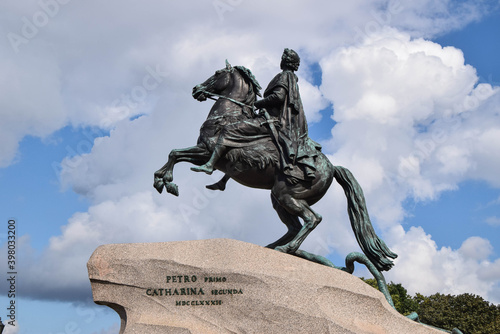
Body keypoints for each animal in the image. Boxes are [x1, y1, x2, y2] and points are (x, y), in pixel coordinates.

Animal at [154, 61, 396, 272]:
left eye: (217, 73)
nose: (196, 89)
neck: (229, 115)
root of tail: (332, 167)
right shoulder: (201, 150)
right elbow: (174, 153)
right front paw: (162, 179)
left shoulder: (206, 150)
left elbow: (178, 154)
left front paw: (167, 181)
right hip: (278, 198)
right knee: (295, 226)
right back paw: (272, 247)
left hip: (286, 195)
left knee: (312, 219)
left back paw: (286, 248)